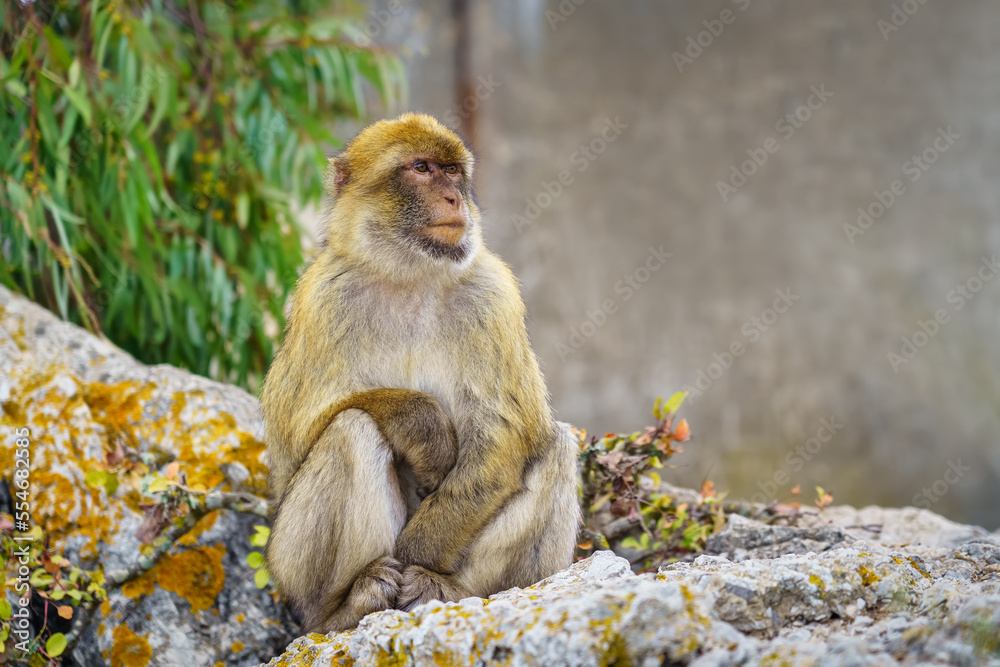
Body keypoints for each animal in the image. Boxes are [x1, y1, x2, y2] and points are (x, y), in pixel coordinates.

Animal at [261, 112, 580, 634]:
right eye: (421, 168)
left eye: (452, 172)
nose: (454, 199)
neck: (410, 275)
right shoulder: (323, 299)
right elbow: (298, 431)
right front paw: (423, 426)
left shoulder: (492, 295)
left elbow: (503, 435)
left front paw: (418, 556)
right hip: (288, 566)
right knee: (350, 429)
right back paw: (345, 607)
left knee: (554, 444)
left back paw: (445, 586)